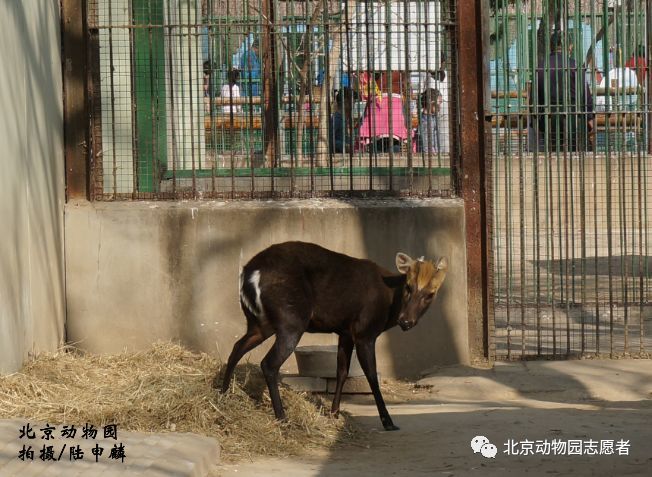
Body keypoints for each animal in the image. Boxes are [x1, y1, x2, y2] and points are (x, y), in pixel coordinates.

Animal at [219, 240, 448, 430]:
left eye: (430, 294)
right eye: (408, 286)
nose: (406, 321)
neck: (389, 301)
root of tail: (250, 272)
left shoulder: (345, 332)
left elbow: (342, 371)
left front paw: (334, 413)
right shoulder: (365, 331)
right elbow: (372, 375)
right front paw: (388, 421)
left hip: (259, 323)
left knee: (236, 348)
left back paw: (221, 395)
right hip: (291, 320)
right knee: (269, 363)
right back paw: (283, 418)